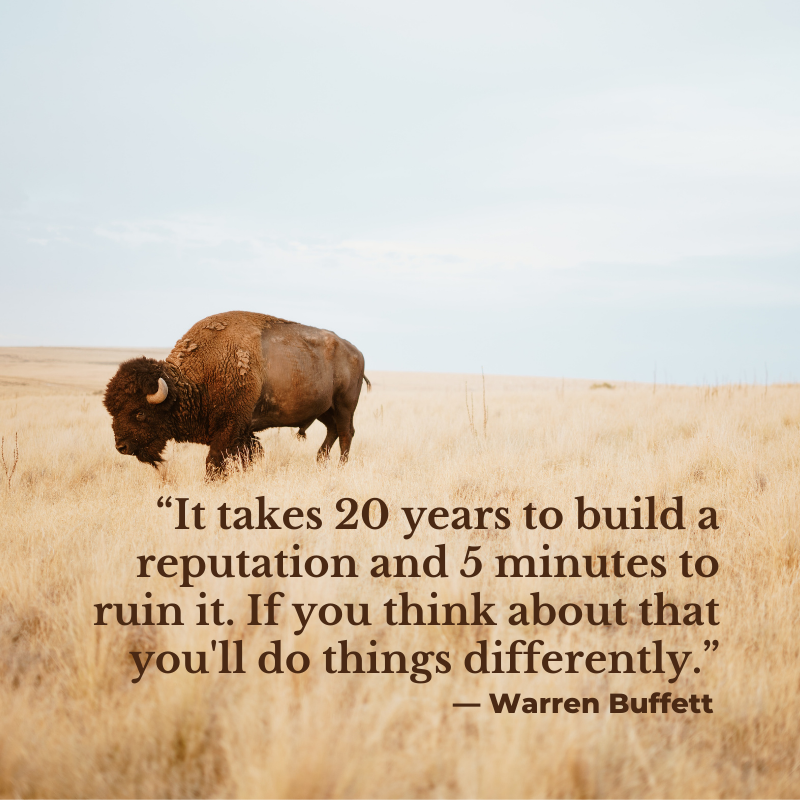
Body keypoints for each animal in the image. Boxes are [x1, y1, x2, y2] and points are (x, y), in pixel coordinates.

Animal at [103, 311, 370, 476]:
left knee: (346, 434)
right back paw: (320, 461)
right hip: (324, 409)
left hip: (344, 405)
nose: (121, 446)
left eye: (139, 413)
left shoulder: (230, 427)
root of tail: (356, 352)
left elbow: (214, 460)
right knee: (333, 431)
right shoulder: (242, 433)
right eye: (112, 411)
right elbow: (246, 457)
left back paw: (340, 467)